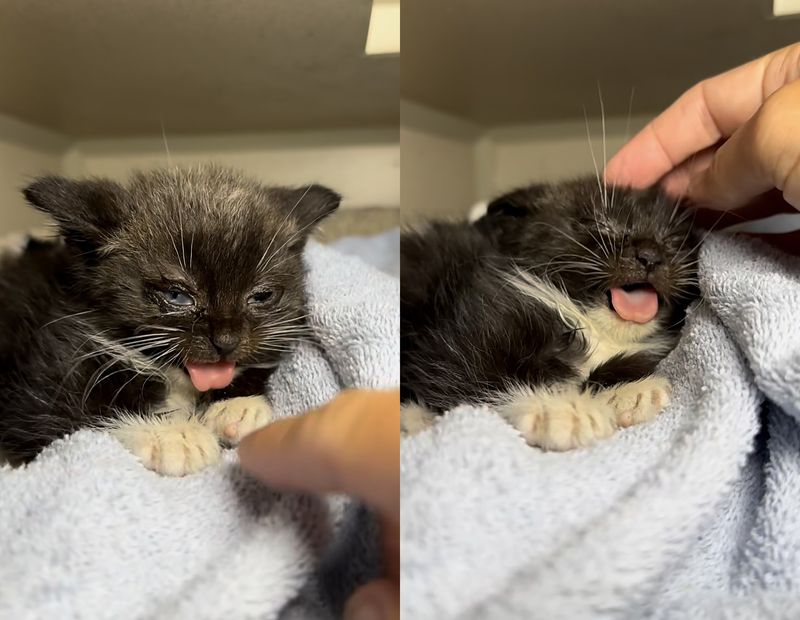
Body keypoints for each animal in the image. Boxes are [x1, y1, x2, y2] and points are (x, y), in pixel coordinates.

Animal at [0, 165, 340, 474]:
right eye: (177, 296)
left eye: (261, 296)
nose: (226, 340)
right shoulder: (40, 378)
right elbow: (68, 419)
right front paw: (172, 435)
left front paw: (239, 406)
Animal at [404, 177, 696, 448]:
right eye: (600, 224)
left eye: (672, 240)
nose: (649, 255)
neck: (589, 320)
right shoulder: (469, 318)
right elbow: (468, 370)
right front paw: (559, 409)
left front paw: (631, 391)